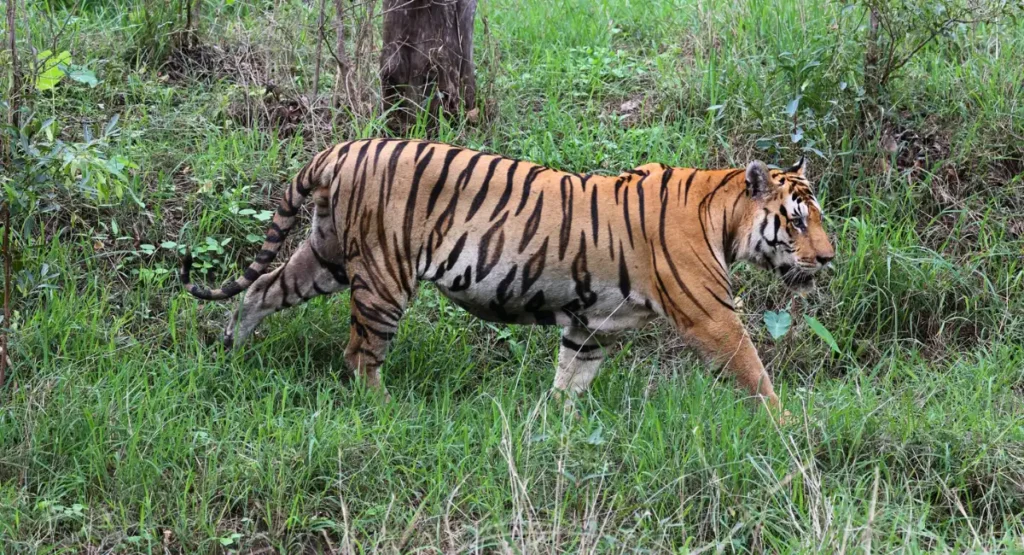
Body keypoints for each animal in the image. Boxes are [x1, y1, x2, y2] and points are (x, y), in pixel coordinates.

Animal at [181, 139, 834, 414]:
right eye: (798, 220)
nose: (829, 259)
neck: (722, 213)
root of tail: (339, 149)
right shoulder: (712, 316)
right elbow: (755, 374)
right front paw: (788, 429)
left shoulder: (592, 325)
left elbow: (571, 378)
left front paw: (554, 426)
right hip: (383, 276)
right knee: (359, 354)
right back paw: (387, 410)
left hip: (327, 257)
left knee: (261, 288)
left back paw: (232, 351)